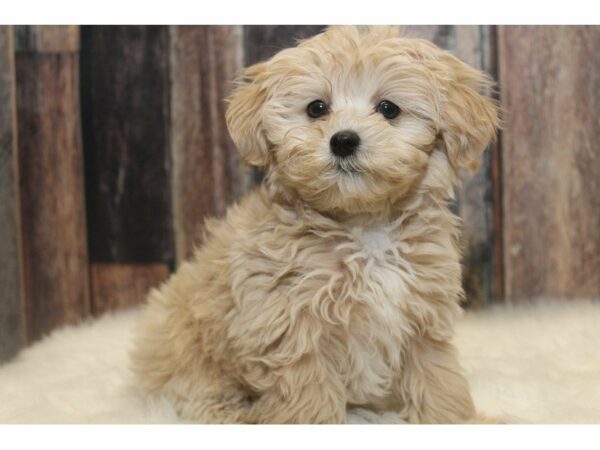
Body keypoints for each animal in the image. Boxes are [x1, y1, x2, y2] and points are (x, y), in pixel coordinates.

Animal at [131, 26, 502, 424]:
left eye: (389, 109)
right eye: (316, 108)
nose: (343, 140)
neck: (364, 227)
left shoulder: (423, 320)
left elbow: (438, 381)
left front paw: (460, 421)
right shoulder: (289, 327)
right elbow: (308, 396)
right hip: (187, 347)